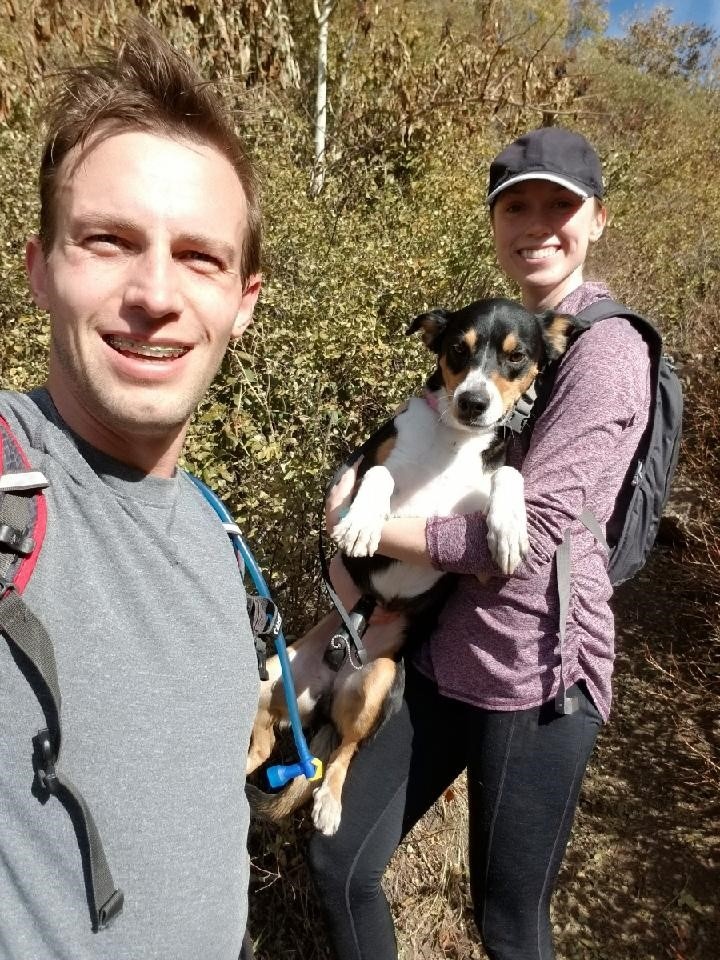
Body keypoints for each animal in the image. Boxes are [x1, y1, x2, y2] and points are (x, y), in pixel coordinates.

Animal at [245, 298, 584, 832]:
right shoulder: (360, 467)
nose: (472, 402)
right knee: (260, 750)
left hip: (381, 680)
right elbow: (381, 475)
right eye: (457, 349)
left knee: (344, 750)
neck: (452, 442)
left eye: (516, 356)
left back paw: (330, 800)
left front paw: (510, 528)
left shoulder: (476, 560)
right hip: (271, 673)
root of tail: (325, 691)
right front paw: (364, 523)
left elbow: (509, 473)